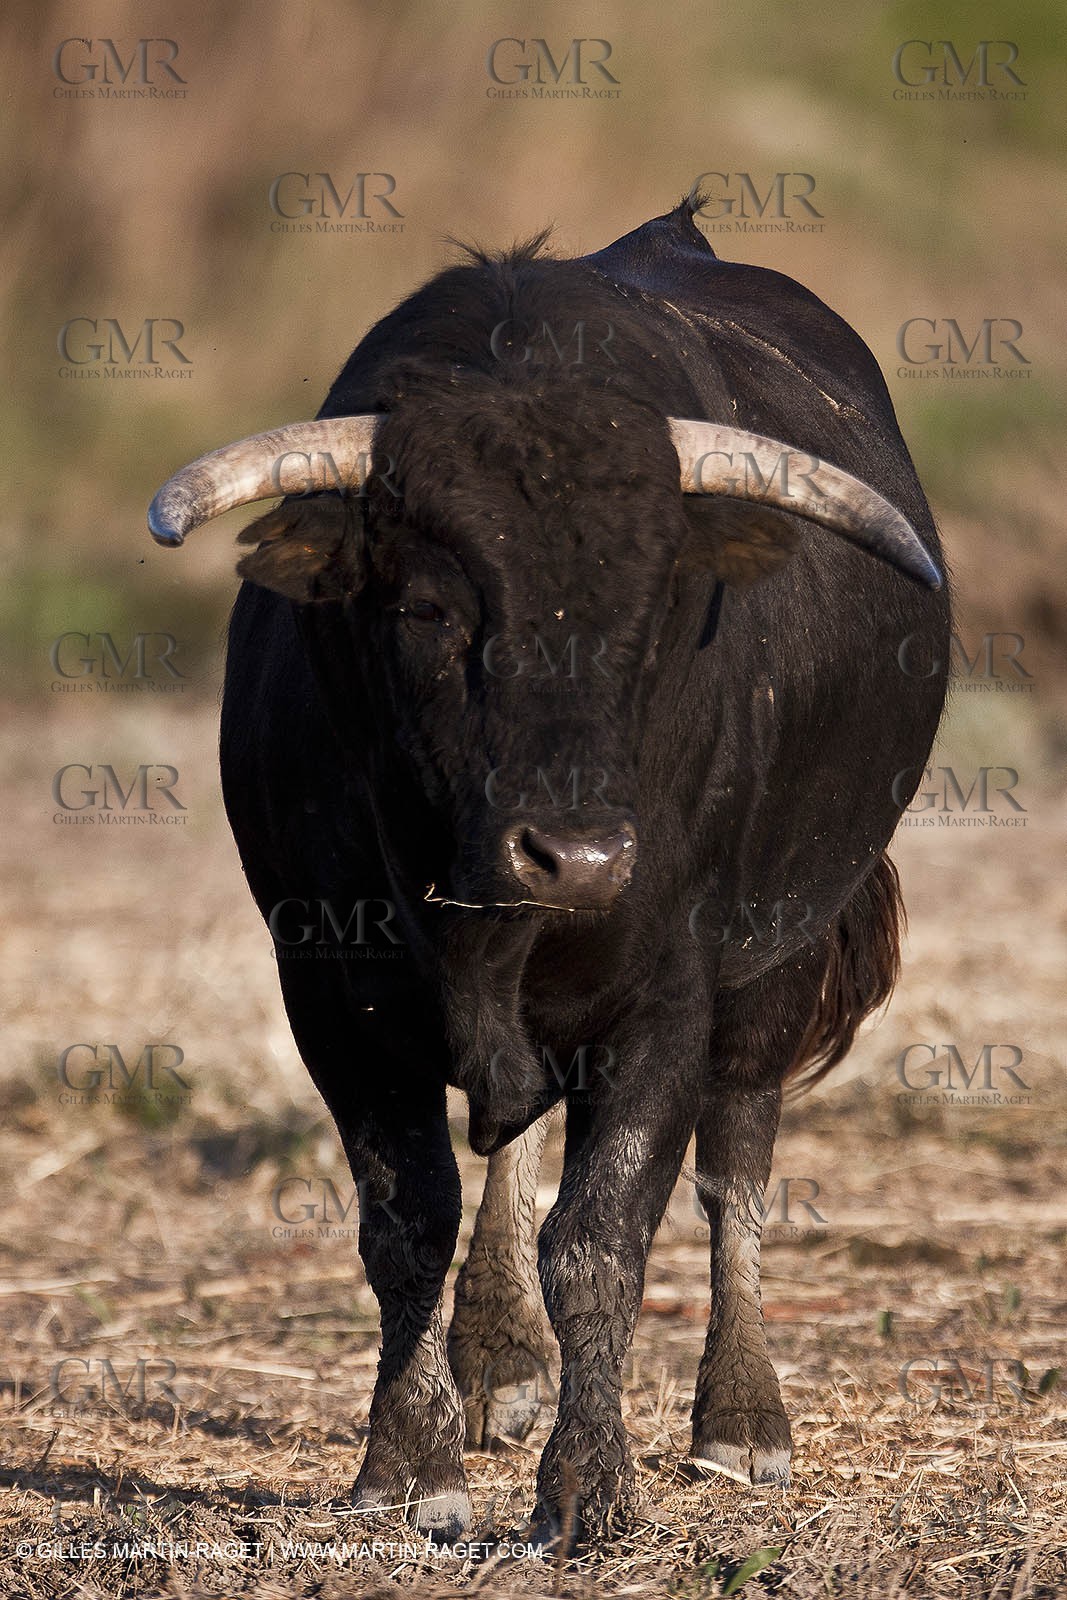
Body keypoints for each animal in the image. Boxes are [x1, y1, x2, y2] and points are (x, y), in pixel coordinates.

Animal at [147, 196, 949, 1545]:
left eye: (658, 608)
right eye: (427, 610)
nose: (576, 858)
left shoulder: (666, 993)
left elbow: (605, 1235)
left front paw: (590, 1481)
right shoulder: (331, 986)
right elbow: (406, 1219)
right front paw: (406, 1461)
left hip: (783, 949)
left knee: (736, 1167)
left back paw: (741, 1416)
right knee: (512, 1138)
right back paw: (496, 1357)